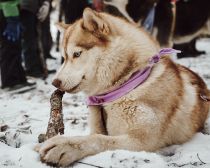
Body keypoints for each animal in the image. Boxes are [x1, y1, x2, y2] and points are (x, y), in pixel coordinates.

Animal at [37, 8, 209, 167]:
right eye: (64, 57)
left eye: (77, 54)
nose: (55, 82)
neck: (126, 85)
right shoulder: (98, 125)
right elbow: (94, 135)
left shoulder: (142, 142)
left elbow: (98, 139)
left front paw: (64, 145)